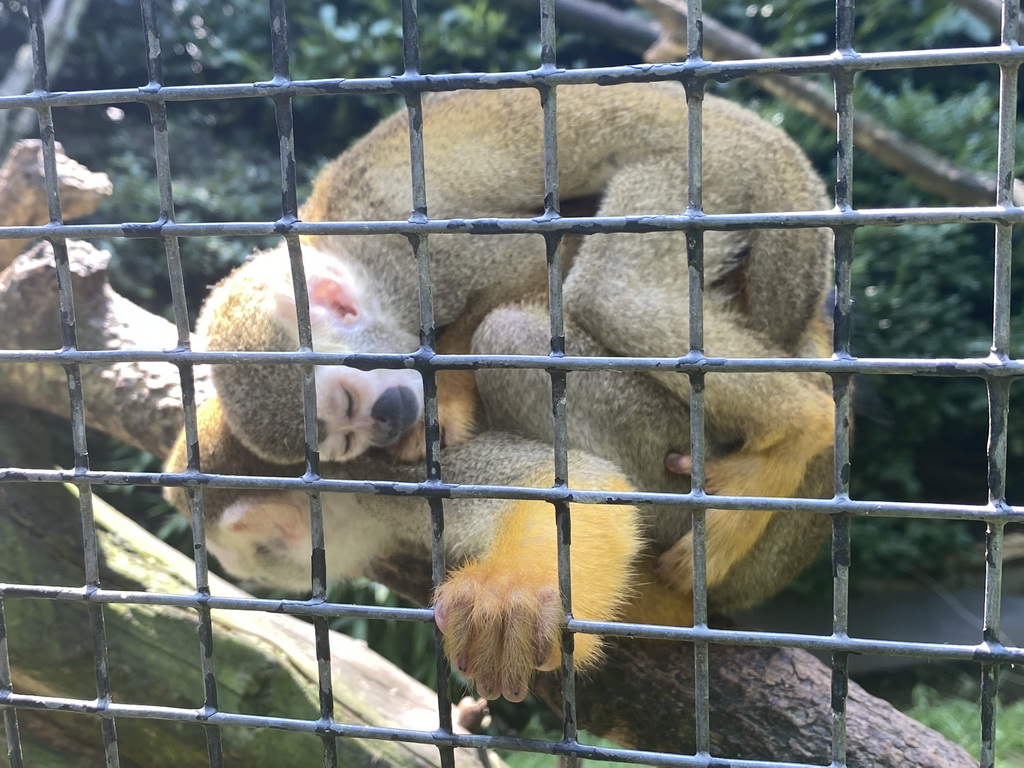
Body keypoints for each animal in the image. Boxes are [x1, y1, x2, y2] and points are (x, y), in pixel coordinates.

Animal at [197, 79, 831, 505]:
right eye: (344, 443)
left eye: (350, 404)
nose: (386, 423)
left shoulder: (413, 260)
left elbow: (524, 266)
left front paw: (448, 399)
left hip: (712, 172)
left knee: (605, 292)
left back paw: (802, 427)